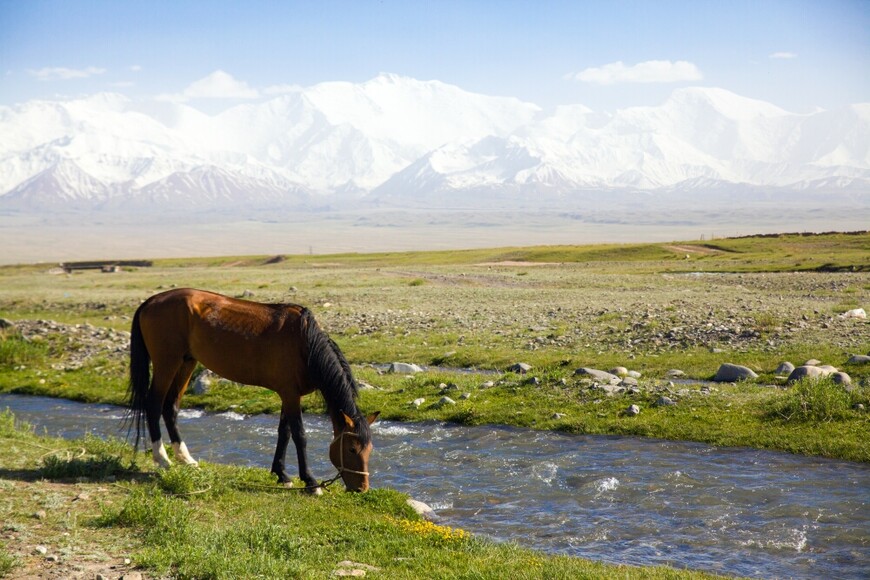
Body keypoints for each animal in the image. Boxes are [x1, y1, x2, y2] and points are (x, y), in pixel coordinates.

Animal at [127, 288, 378, 492]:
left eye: (370, 450)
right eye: (352, 449)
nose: (362, 488)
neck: (304, 343)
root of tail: (150, 301)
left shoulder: (289, 394)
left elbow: (284, 433)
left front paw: (281, 474)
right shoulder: (290, 394)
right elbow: (299, 435)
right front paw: (310, 482)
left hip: (186, 363)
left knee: (170, 407)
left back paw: (185, 459)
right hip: (167, 363)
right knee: (154, 404)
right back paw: (162, 459)